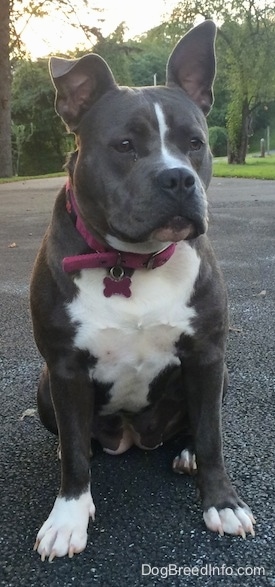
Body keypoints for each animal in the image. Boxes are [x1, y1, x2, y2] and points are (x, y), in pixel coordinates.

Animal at [29, 20, 256, 564]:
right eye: (125, 144)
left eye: (195, 143)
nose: (178, 178)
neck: (130, 263)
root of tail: (134, 435)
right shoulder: (65, 367)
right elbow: (74, 456)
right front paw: (67, 518)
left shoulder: (207, 353)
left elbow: (214, 435)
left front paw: (223, 503)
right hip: (45, 386)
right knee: (76, 440)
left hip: (218, 374)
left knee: (197, 424)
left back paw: (186, 452)